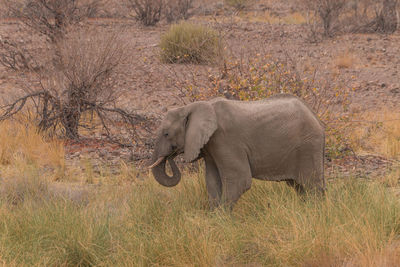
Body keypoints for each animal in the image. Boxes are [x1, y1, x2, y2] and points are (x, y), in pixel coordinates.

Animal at [149, 94, 324, 209]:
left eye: (166, 134)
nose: (170, 156)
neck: (193, 106)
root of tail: (317, 119)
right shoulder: (211, 146)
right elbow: (212, 180)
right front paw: (213, 218)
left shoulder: (225, 139)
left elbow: (239, 180)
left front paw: (222, 219)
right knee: (300, 187)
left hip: (308, 147)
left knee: (312, 186)